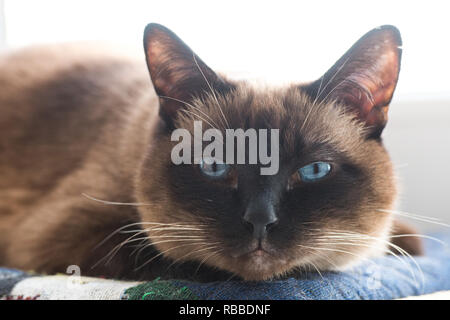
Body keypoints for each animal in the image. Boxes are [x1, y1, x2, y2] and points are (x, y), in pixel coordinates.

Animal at [0, 23, 422, 282]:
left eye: (314, 171)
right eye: (216, 166)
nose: (260, 221)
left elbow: (398, 241)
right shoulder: (63, 236)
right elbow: (175, 259)